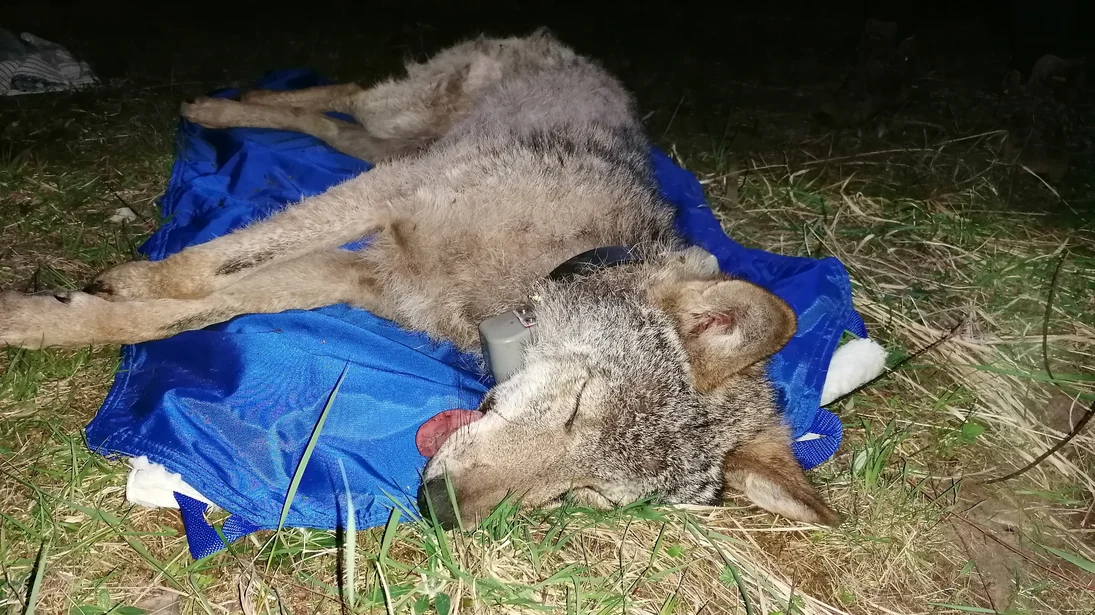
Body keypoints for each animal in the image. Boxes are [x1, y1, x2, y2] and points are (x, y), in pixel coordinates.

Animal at [0, 29, 840, 528]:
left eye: (586, 493)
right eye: (578, 407)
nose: (439, 506)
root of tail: (575, 50)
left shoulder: (362, 271)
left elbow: (195, 306)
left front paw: (55, 315)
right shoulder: (392, 198)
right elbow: (209, 267)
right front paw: (127, 281)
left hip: (386, 145)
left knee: (330, 123)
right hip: (401, 126)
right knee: (336, 91)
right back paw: (224, 102)